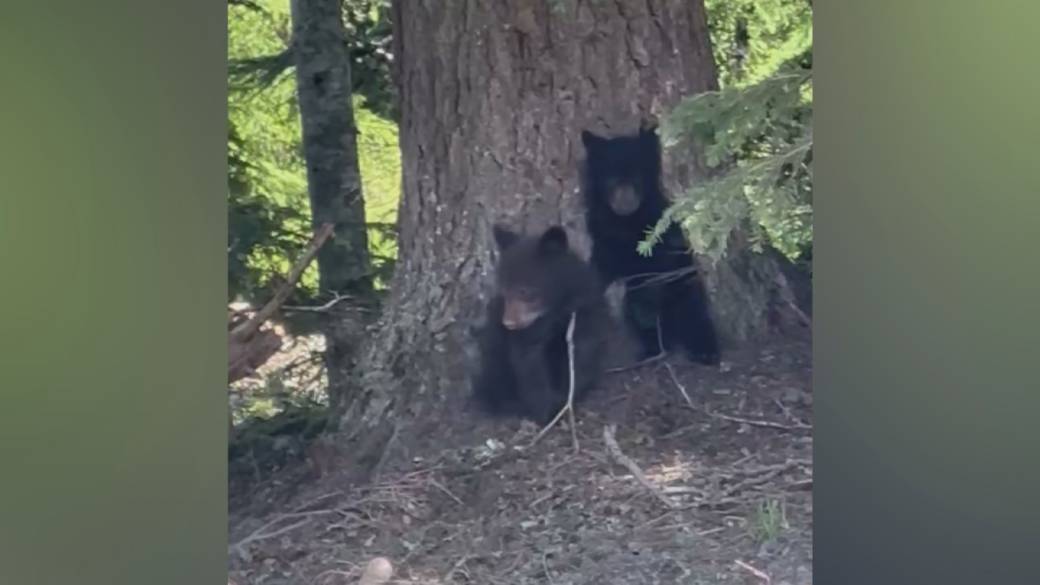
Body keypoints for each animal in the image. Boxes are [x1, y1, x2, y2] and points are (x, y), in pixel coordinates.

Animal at [471, 224, 612, 424]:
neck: (555, 311)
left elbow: (582, 354)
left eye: (524, 291)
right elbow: (529, 365)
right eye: (504, 290)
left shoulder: (585, 311)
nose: (508, 323)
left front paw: (568, 398)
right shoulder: (528, 333)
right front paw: (546, 411)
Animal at [580, 127, 720, 365]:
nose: (624, 199)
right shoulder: (604, 235)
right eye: (610, 178)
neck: (629, 222)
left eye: (637, 176)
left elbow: (662, 263)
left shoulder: (664, 228)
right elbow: (606, 268)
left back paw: (703, 349)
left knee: (692, 305)